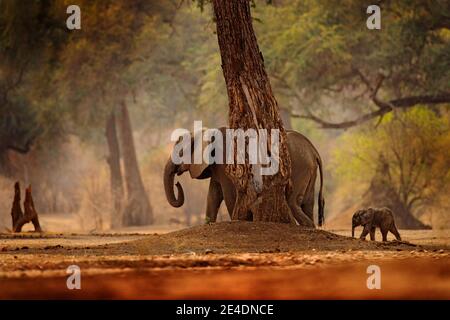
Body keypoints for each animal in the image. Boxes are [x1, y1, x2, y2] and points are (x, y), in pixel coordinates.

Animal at [163, 127, 326, 228]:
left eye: (180, 151)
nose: (177, 183)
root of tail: (314, 150)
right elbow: (213, 196)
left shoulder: (226, 164)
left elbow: (229, 196)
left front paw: (237, 221)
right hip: (309, 170)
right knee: (307, 203)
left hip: (298, 167)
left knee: (293, 202)